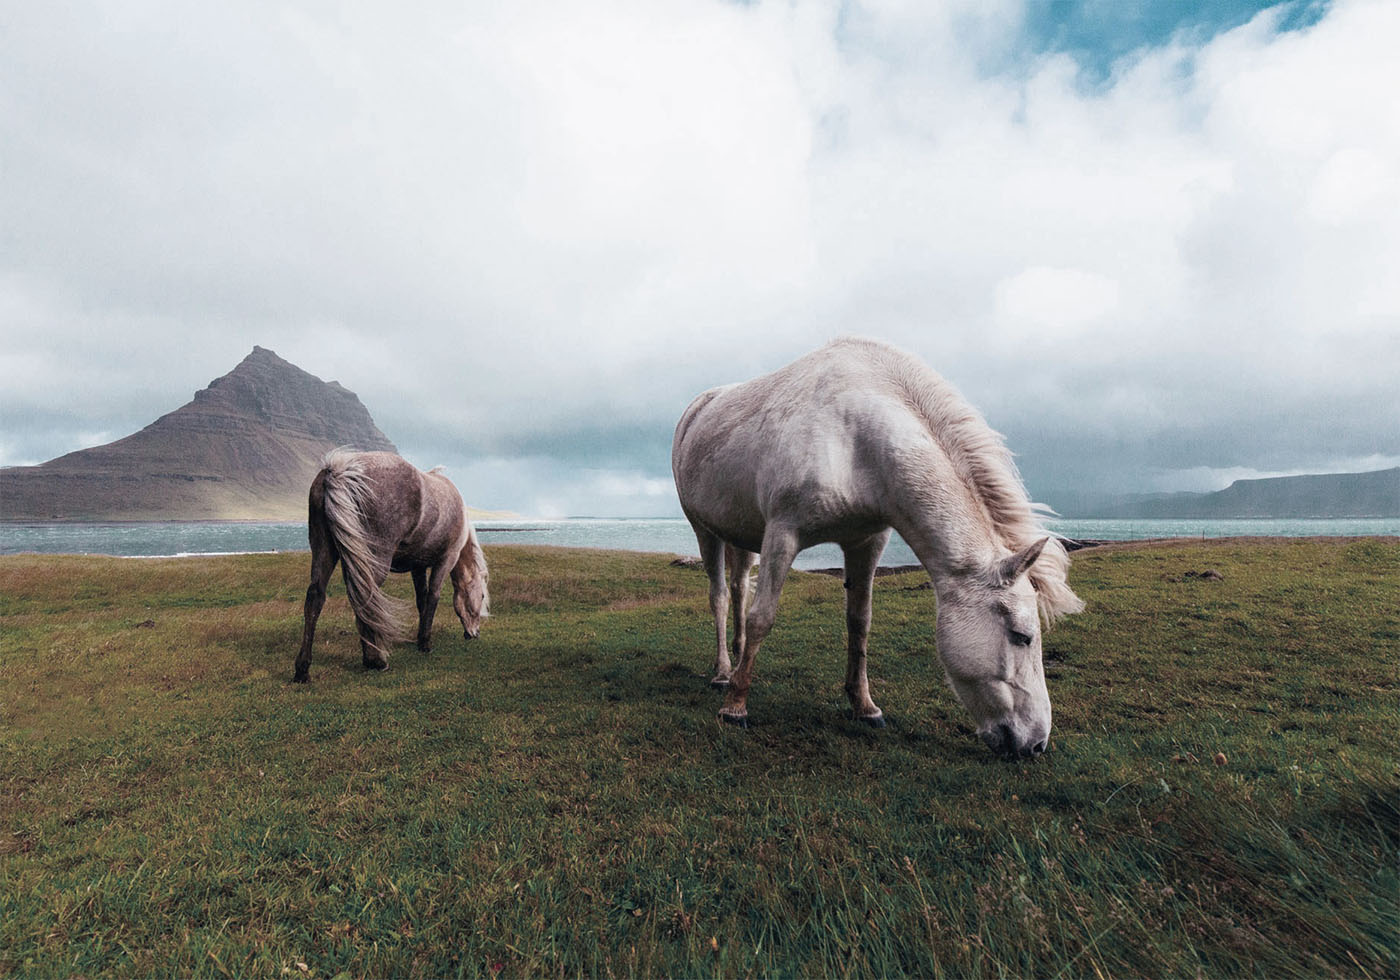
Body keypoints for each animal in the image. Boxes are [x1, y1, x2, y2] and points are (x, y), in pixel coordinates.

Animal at [292, 450, 490, 680]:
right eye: (481, 596)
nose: (474, 633)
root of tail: (340, 470)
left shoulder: (418, 566)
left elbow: (422, 600)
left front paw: (420, 638)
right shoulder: (445, 560)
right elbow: (433, 597)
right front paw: (425, 643)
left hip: (324, 550)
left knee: (315, 597)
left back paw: (303, 669)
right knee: (365, 599)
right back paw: (375, 660)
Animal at [672, 337, 1086, 756]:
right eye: (1021, 636)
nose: (1036, 743)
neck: (855, 440)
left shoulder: (866, 542)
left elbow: (860, 623)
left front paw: (864, 706)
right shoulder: (782, 535)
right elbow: (763, 618)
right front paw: (735, 707)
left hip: (743, 537)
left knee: (739, 588)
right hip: (704, 530)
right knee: (721, 596)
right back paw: (724, 673)